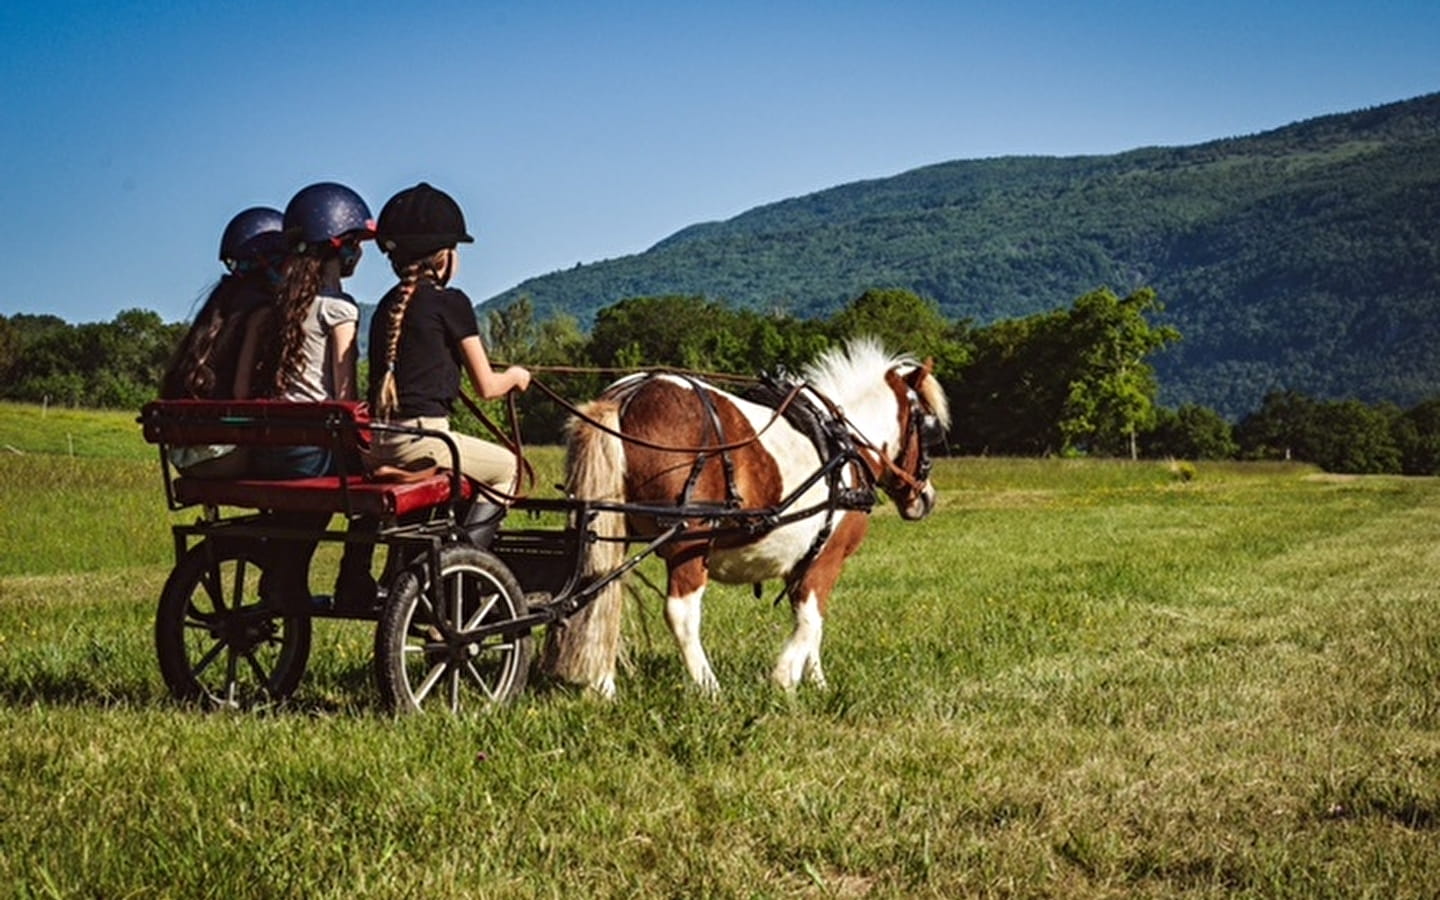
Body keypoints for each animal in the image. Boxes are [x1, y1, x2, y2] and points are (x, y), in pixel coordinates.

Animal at [538, 336, 944, 694]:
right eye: (929, 427)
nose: (926, 498)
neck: (845, 445)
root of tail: (627, 397)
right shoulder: (826, 557)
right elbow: (811, 620)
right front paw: (786, 678)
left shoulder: (803, 562)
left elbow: (809, 623)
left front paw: (815, 681)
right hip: (691, 540)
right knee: (680, 612)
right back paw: (708, 688)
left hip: (608, 531)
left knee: (600, 599)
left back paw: (601, 688)